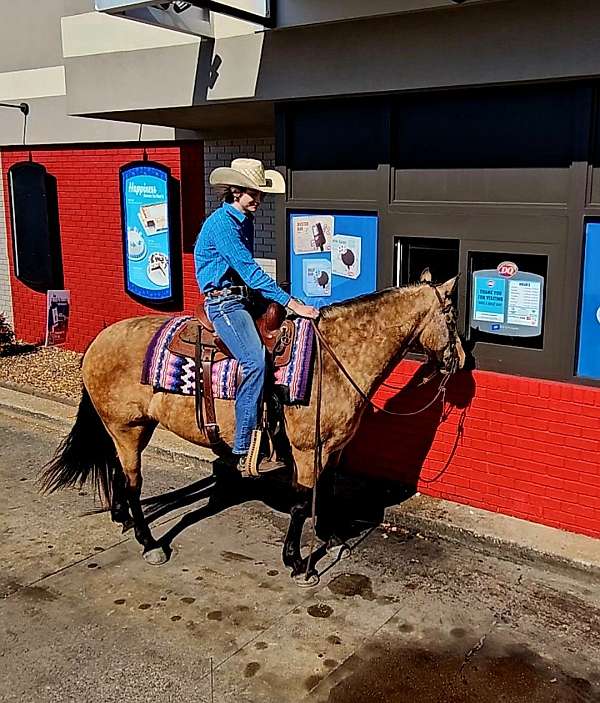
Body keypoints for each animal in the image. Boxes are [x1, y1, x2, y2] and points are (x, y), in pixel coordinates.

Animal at [41, 270, 464, 576]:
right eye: (451, 315)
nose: (460, 360)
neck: (333, 359)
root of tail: (97, 341)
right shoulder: (307, 450)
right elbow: (301, 502)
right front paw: (297, 562)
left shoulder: (331, 451)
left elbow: (324, 493)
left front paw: (330, 538)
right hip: (127, 429)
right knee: (132, 482)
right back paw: (150, 543)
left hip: (132, 427)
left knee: (117, 471)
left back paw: (123, 519)